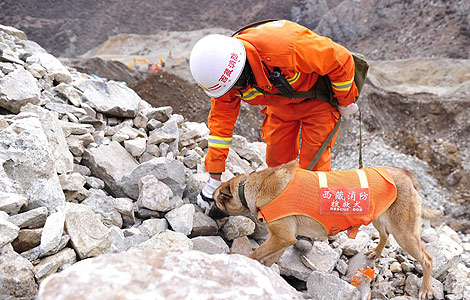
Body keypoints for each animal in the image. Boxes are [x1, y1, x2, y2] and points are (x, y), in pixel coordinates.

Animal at [211, 162, 442, 300]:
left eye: (215, 201)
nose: (208, 210)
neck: (256, 186)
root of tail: (407, 174)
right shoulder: (282, 239)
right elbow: (268, 258)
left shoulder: (281, 237)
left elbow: (255, 253)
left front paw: (242, 262)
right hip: (379, 217)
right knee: (385, 235)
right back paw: (376, 252)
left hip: (405, 234)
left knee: (428, 259)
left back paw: (426, 288)